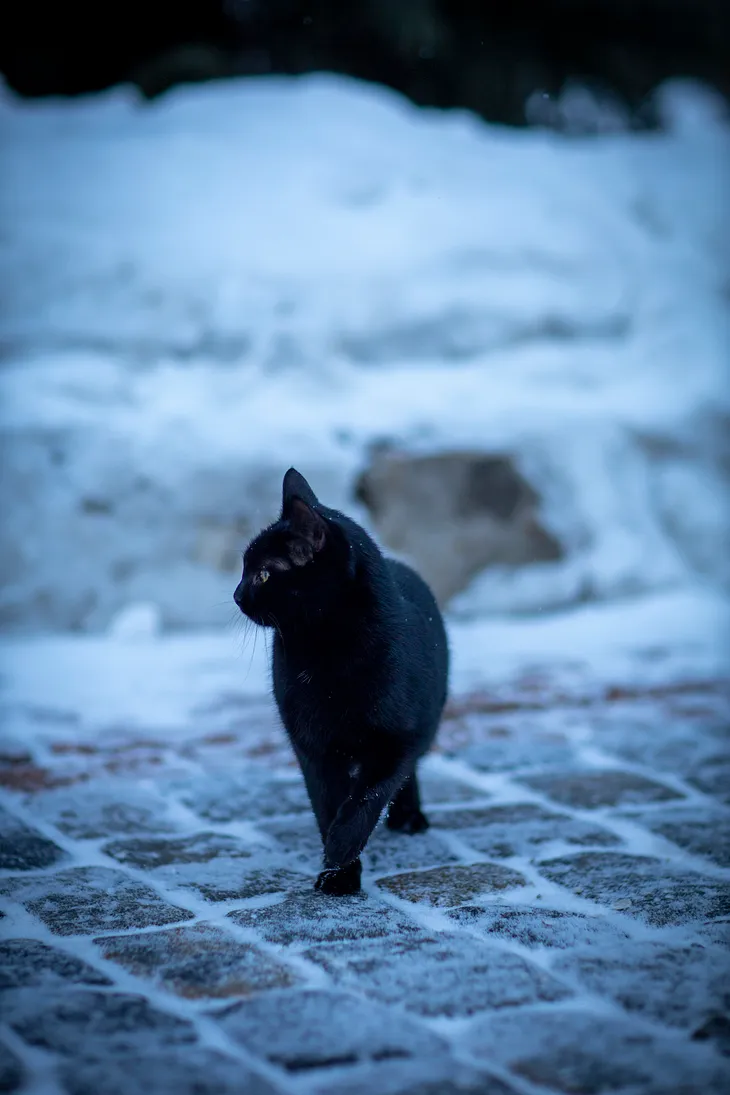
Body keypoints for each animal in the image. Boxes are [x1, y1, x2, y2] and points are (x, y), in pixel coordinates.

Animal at [237, 466, 448, 893]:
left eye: (263, 574)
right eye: (244, 569)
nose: (236, 594)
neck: (324, 655)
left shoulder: (397, 739)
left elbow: (368, 798)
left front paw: (341, 848)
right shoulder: (311, 746)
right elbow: (327, 805)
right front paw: (339, 872)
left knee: (407, 773)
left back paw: (409, 817)